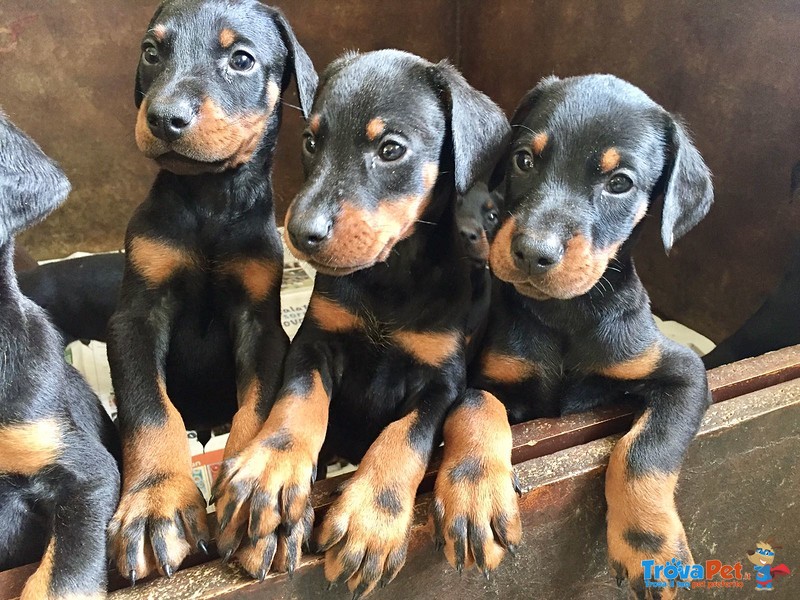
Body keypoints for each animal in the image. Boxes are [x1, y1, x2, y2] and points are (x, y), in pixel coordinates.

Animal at [105, 0, 316, 580]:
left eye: (241, 59)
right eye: (151, 51)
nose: (163, 117)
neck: (210, 198)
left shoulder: (261, 322)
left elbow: (257, 405)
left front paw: (260, 511)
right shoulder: (137, 316)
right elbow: (150, 408)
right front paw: (157, 504)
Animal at [214, 48, 506, 596]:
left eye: (391, 149)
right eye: (311, 141)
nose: (299, 233)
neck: (391, 275)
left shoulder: (442, 381)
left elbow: (406, 436)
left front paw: (373, 518)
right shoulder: (314, 343)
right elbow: (298, 400)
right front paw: (272, 469)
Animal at [434, 74, 716, 596]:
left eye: (619, 183)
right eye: (524, 159)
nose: (531, 252)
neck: (565, 315)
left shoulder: (685, 373)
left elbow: (645, 450)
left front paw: (648, 544)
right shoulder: (485, 373)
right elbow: (478, 405)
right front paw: (476, 496)